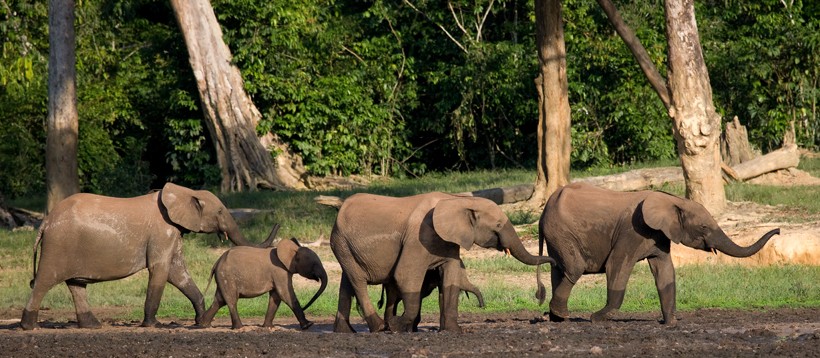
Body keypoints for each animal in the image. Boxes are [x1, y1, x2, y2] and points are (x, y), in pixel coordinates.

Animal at [19, 183, 274, 332]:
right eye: (220, 211)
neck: (183, 192)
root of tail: (45, 222)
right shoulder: (162, 232)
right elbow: (161, 271)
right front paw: (153, 325)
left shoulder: (172, 232)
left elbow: (177, 272)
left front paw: (200, 321)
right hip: (58, 246)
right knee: (44, 281)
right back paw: (28, 327)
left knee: (76, 285)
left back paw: (92, 326)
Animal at [330, 192, 556, 334]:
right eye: (499, 225)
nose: (540, 294)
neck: (457, 200)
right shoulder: (418, 238)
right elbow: (405, 275)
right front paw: (397, 327)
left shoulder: (449, 240)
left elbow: (451, 278)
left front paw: (454, 331)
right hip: (342, 242)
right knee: (358, 282)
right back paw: (378, 327)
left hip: (345, 246)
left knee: (347, 282)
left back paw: (345, 331)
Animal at [536, 183, 780, 326]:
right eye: (703, 227)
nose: (777, 231)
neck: (674, 200)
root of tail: (545, 209)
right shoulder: (632, 231)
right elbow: (617, 266)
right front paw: (597, 318)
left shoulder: (659, 235)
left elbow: (665, 272)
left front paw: (671, 324)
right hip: (560, 231)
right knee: (574, 268)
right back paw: (563, 316)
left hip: (557, 235)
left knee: (559, 270)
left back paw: (557, 318)